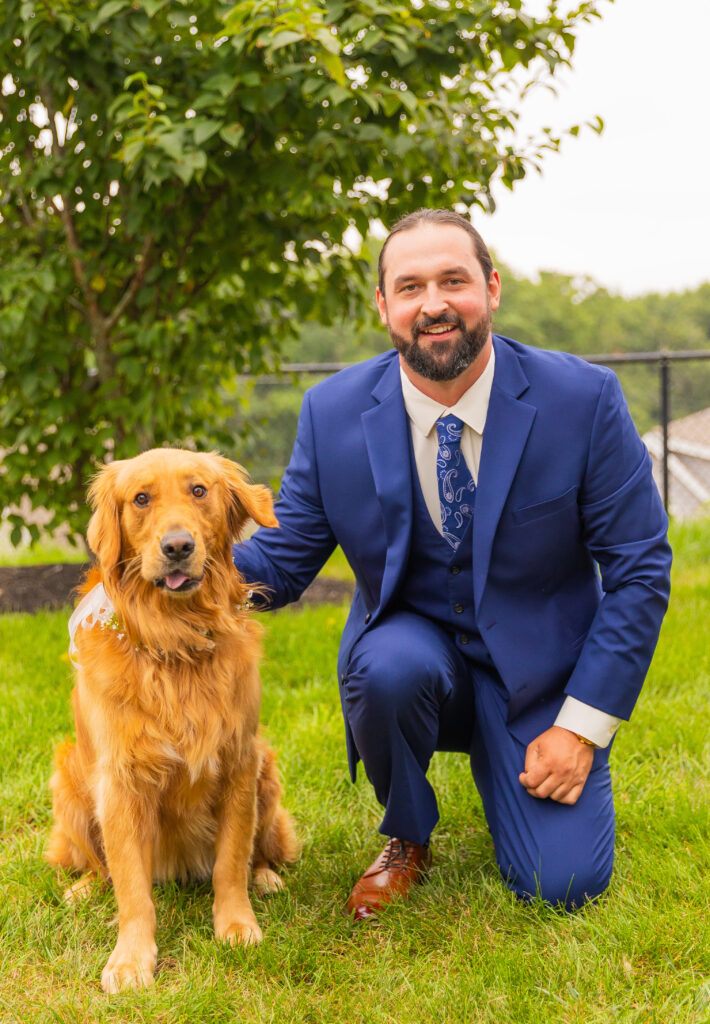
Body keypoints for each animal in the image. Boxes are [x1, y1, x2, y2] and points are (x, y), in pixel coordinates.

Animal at [46, 448, 297, 991]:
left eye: (198, 490)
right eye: (141, 499)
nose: (178, 546)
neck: (174, 639)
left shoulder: (238, 762)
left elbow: (231, 860)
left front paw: (236, 924)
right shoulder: (121, 781)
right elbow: (131, 886)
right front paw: (131, 958)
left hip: (267, 769)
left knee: (261, 847)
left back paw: (266, 876)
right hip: (70, 781)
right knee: (99, 867)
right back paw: (84, 889)